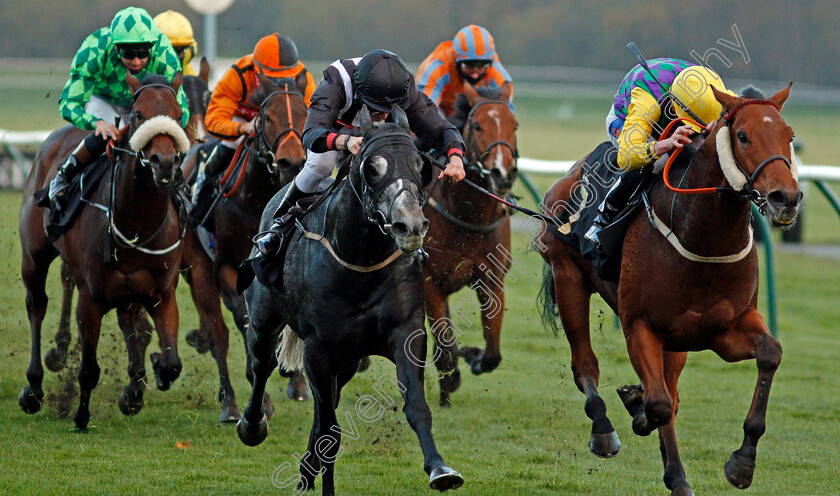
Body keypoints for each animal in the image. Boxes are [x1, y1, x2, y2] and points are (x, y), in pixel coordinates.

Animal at [18, 71, 190, 428]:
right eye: (138, 114)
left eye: (178, 115)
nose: (164, 163)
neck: (137, 224)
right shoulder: (91, 297)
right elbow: (88, 370)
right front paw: (81, 417)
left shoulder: (162, 293)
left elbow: (171, 363)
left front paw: (135, 391)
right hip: (34, 257)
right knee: (36, 305)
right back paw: (33, 389)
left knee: (128, 321)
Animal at [179, 79, 310, 420]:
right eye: (267, 117)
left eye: (306, 113)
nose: (292, 162)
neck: (257, 198)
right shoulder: (228, 267)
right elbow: (244, 320)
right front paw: (259, 391)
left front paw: (295, 380)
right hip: (199, 265)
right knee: (219, 335)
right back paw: (230, 403)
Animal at [233, 103, 462, 492]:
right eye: (372, 168)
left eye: (420, 164)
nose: (410, 226)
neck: (360, 265)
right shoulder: (318, 348)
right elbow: (330, 432)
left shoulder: (404, 333)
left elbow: (415, 406)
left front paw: (440, 470)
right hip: (265, 318)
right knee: (262, 363)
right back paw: (252, 425)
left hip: (349, 359)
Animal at [426, 82, 520, 406]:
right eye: (477, 125)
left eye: (514, 125)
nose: (503, 173)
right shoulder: (429, 281)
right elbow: (443, 342)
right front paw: (450, 379)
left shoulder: (492, 281)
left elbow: (492, 351)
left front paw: (474, 357)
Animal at [540, 85, 800, 496]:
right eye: (743, 136)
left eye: (789, 136)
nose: (785, 198)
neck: (702, 236)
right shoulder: (639, 326)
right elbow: (658, 404)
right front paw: (636, 407)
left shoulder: (723, 329)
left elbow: (769, 353)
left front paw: (742, 462)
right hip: (568, 277)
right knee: (585, 366)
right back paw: (604, 430)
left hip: (676, 341)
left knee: (670, 395)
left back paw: (677, 477)